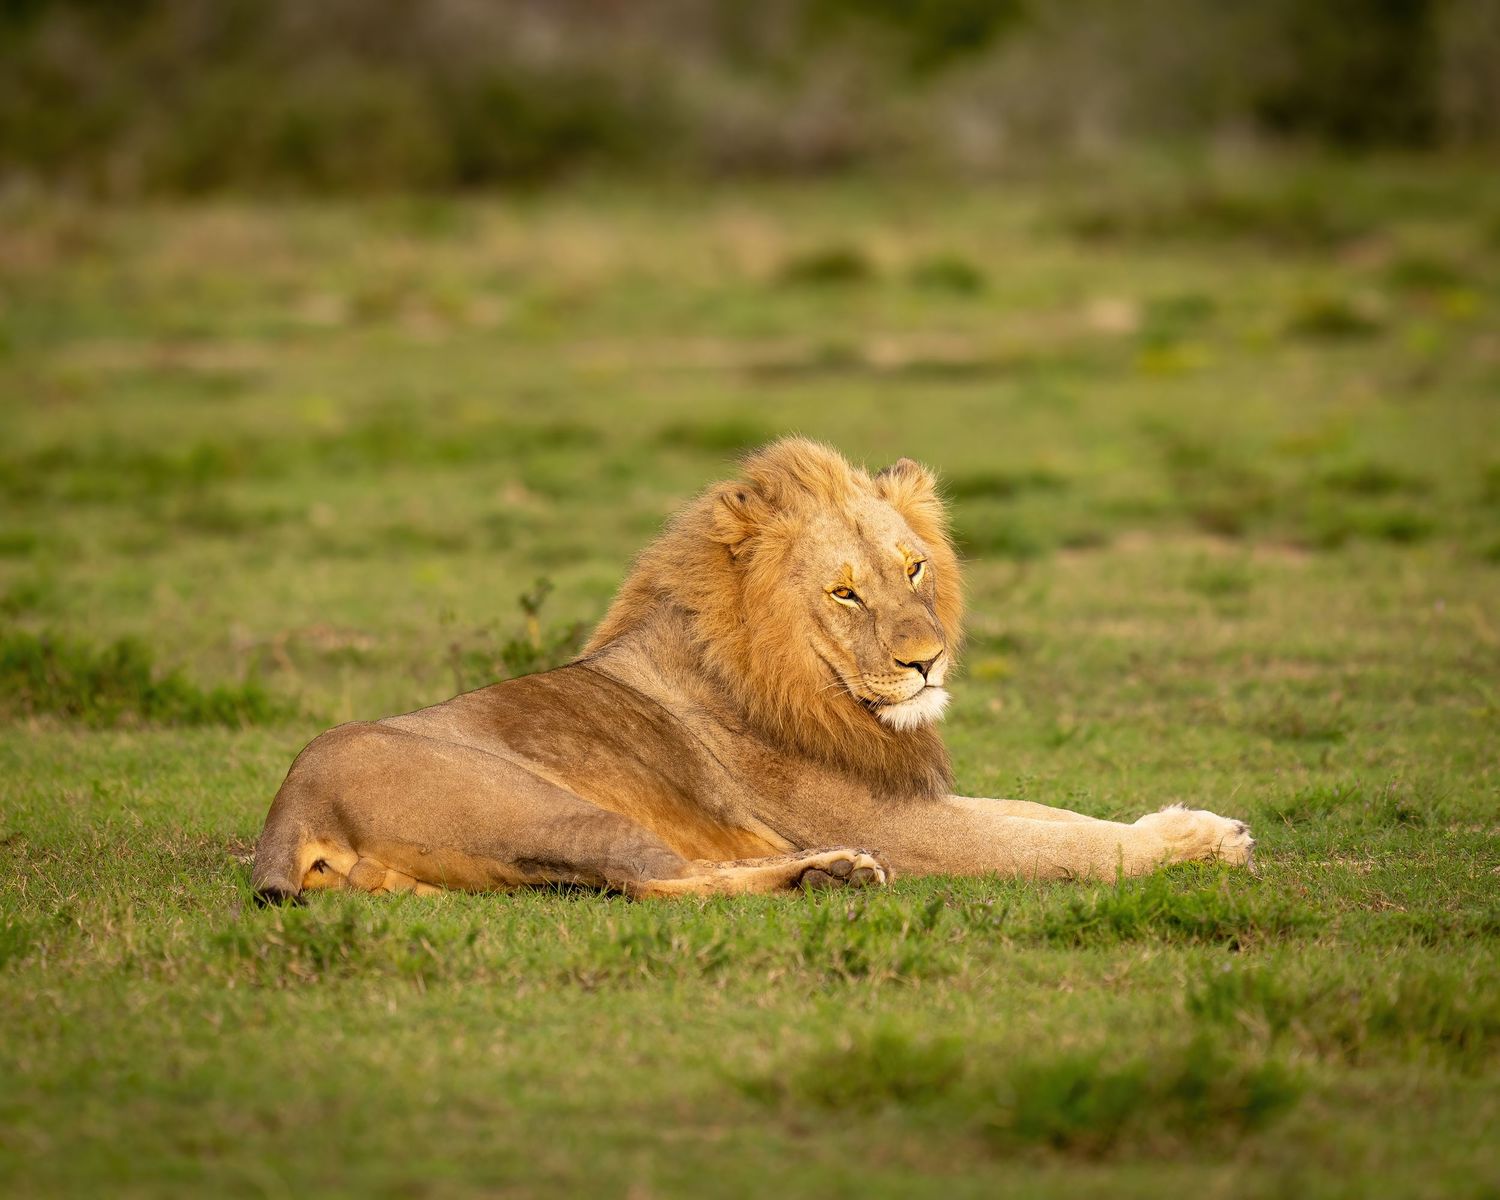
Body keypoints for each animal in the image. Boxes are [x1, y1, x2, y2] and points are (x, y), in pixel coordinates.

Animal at [251, 437, 1253, 902]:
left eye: (913, 569)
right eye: (844, 593)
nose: (926, 663)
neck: (814, 689)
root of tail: (290, 803)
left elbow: (1053, 814)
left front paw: (1200, 823)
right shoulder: (902, 826)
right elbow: (1065, 847)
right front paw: (1190, 847)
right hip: (546, 805)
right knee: (654, 881)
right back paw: (829, 875)